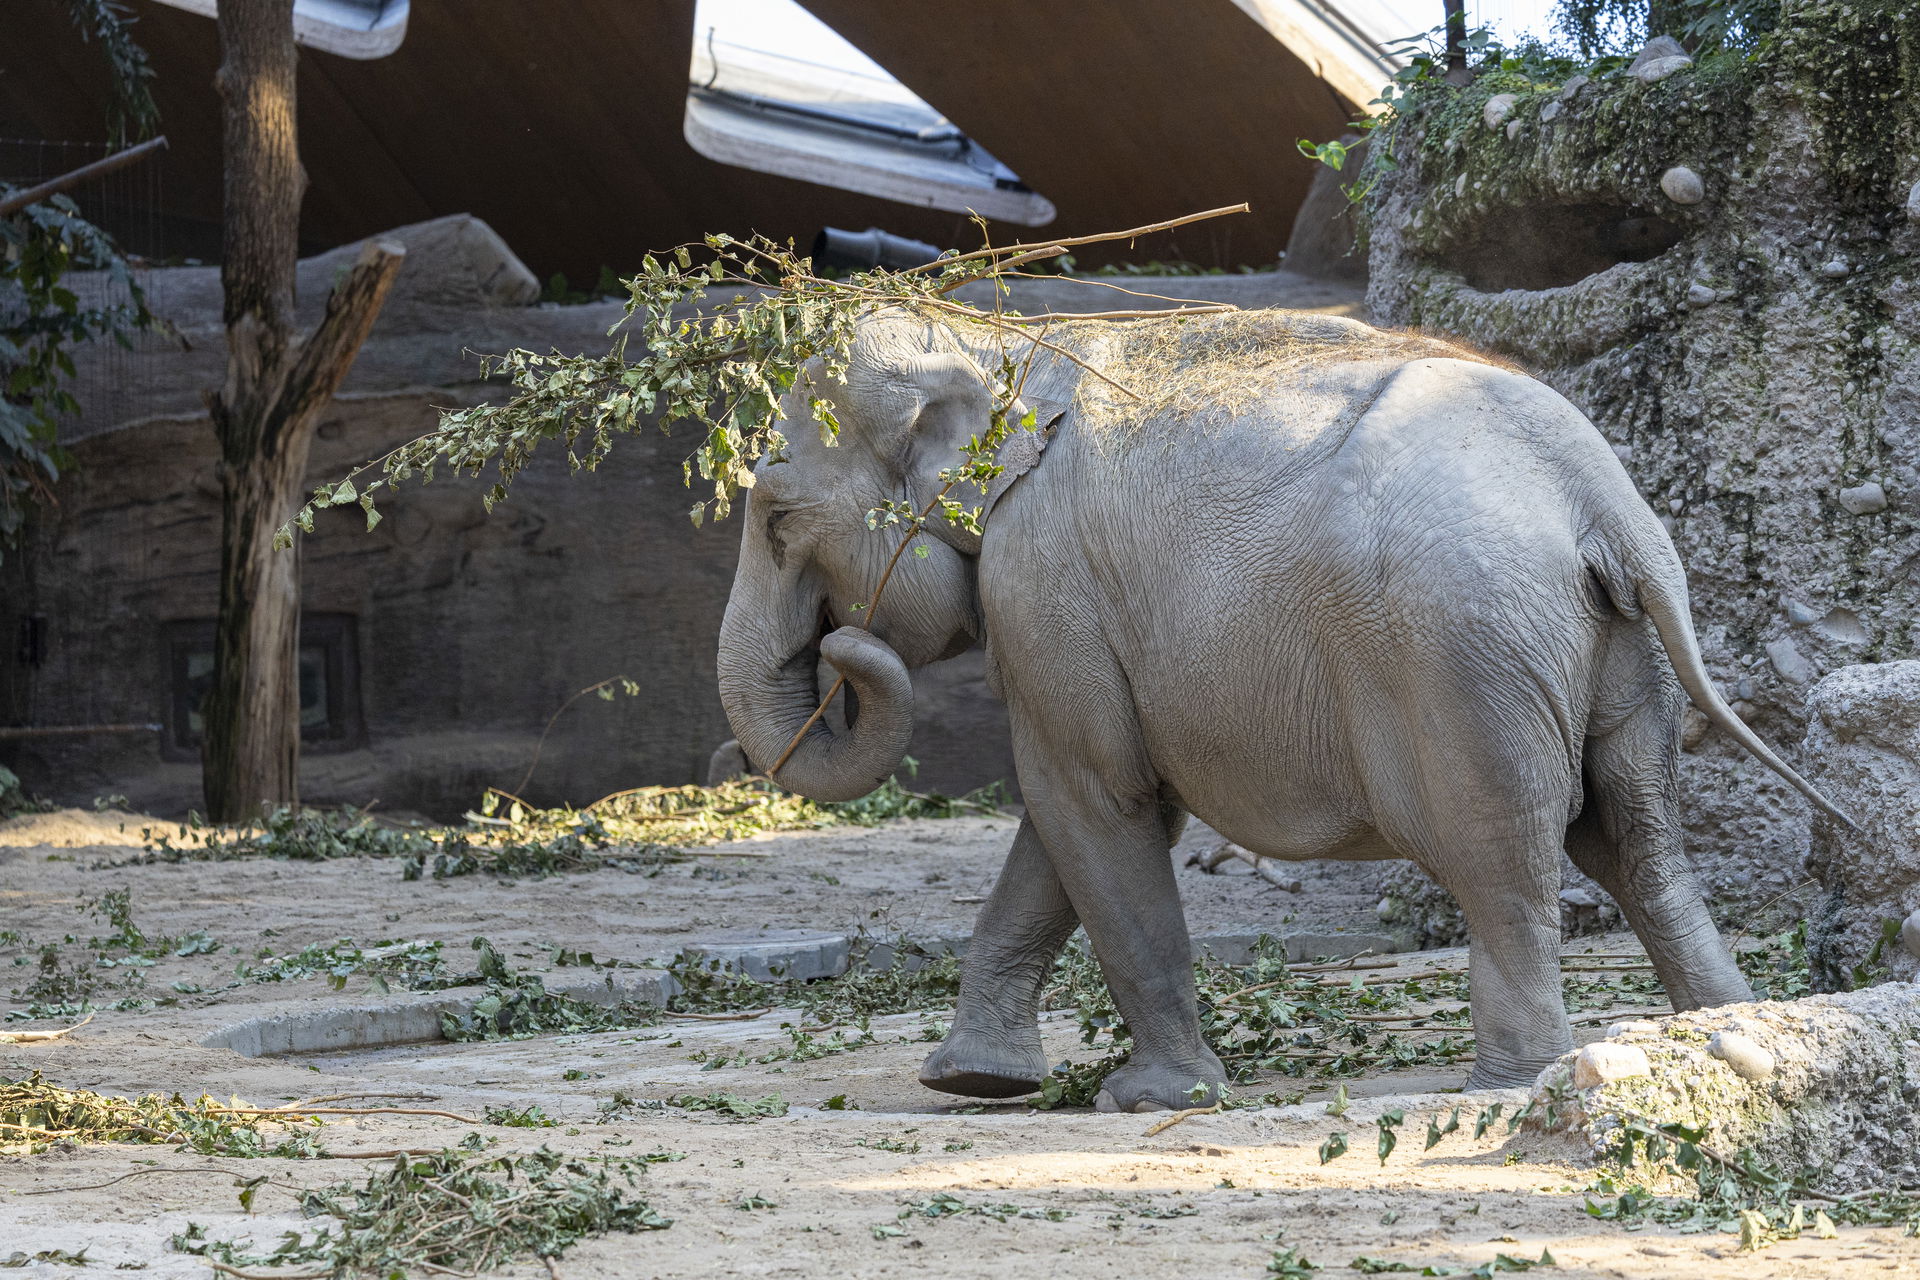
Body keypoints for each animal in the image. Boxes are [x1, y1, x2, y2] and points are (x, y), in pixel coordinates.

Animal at [714, 306, 1853, 1112]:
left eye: (775, 518)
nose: (840, 647)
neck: (995, 341)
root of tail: (1599, 495)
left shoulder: (1043, 580)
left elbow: (1093, 797)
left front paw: (1151, 1100)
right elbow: (1070, 818)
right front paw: (971, 1082)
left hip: (1463, 654)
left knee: (1504, 857)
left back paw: (1511, 1082)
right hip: (1608, 648)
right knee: (1637, 836)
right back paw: (1733, 1029)